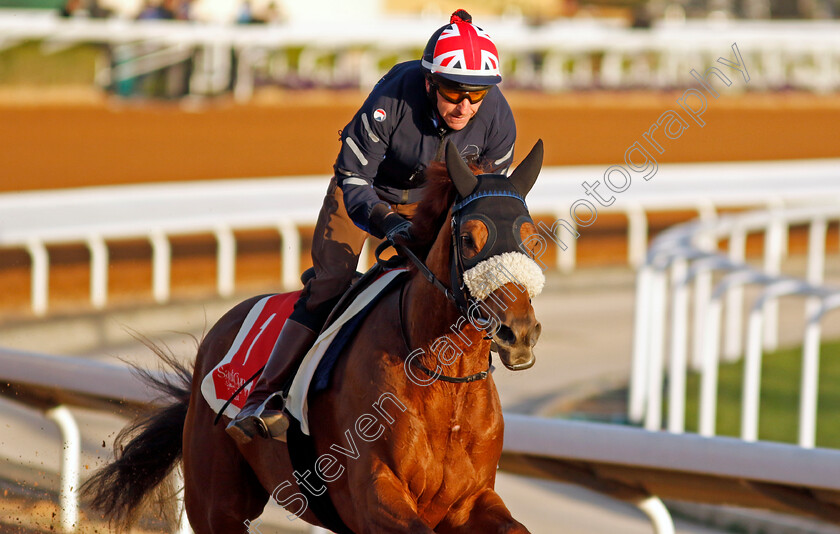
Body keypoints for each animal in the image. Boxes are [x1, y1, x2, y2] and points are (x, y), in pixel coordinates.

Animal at [83, 141, 544, 534]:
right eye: (469, 238)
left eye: (530, 237)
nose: (519, 332)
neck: (444, 382)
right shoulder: (372, 496)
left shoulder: (468, 500)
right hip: (216, 502)